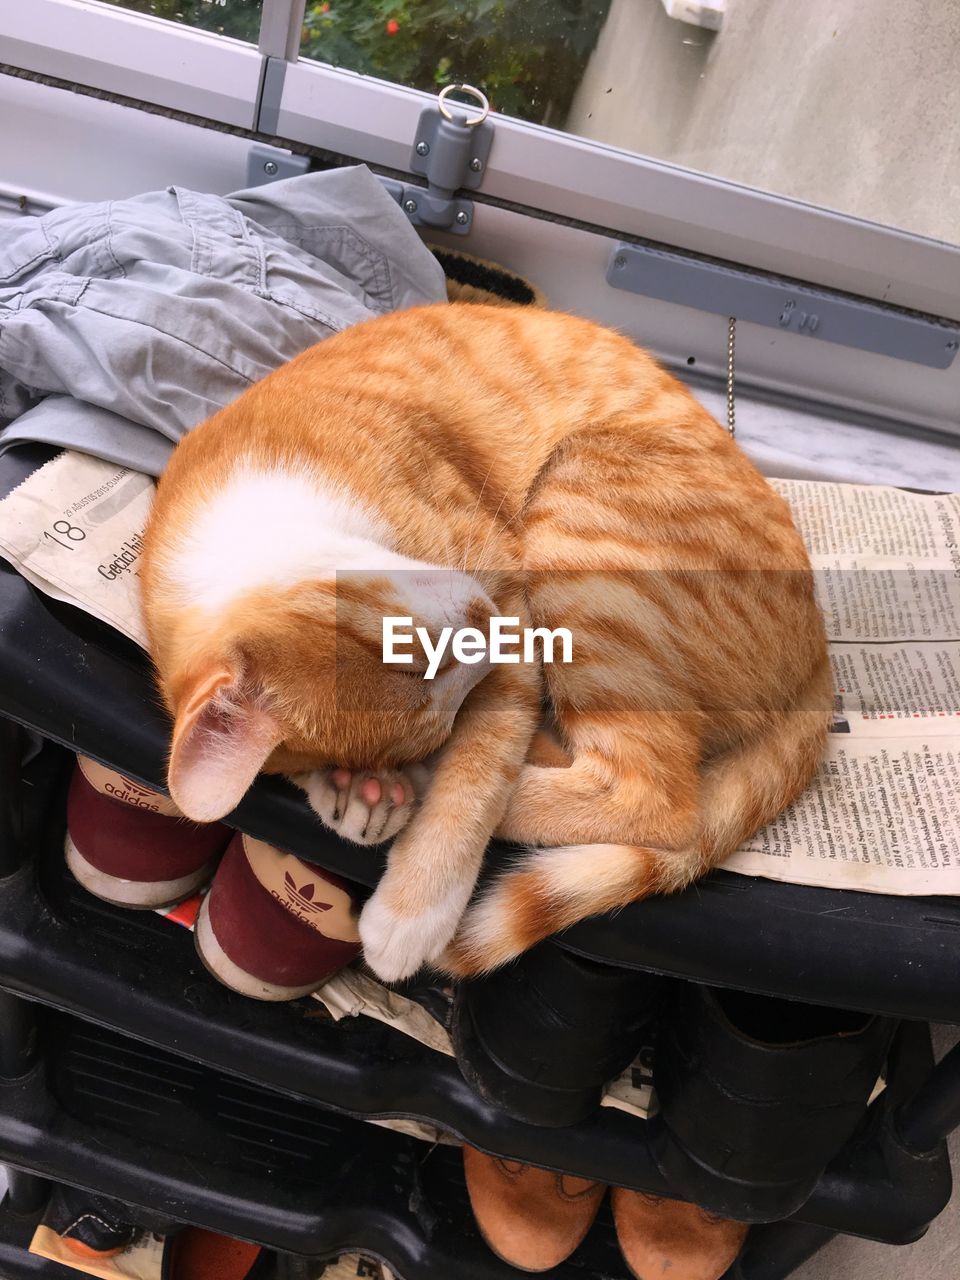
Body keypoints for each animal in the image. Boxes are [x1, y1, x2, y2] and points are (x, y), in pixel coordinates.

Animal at [140, 304, 834, 983]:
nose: (482, 625)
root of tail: (820, 650)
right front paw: (353, 791)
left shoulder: (511, 616)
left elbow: (479, 773)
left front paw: (415, 905)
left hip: (580, 521)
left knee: (654, 799)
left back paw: (422, 789)